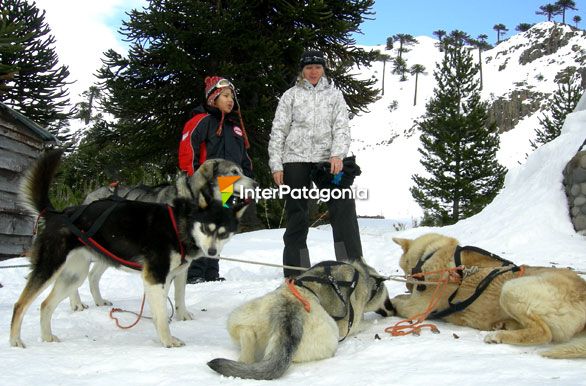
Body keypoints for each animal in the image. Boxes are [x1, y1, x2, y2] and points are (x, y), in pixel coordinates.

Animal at [66, 158, 256, 312]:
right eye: (234, 172)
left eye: (242, 171)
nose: (255, 184)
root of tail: (90, 197)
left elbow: (179, 294)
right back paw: (77, 304)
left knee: (92, 275)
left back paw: (99, 301)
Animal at [205, 256, 392, 380]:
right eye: (387, 299)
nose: (391, 308)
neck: (362, 275)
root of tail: (289, 308)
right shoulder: (350, 323)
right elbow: (361, 323)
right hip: (330, 337)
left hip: (238, 317)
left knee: (246, 338)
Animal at [390, 232, 586, 358]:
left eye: (404, 270)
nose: (409, 286)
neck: (431, 254)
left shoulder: (418, 307)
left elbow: (398, 303)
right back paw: (504, 325)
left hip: (510, 288)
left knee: (544, 333)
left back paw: (498, 335)